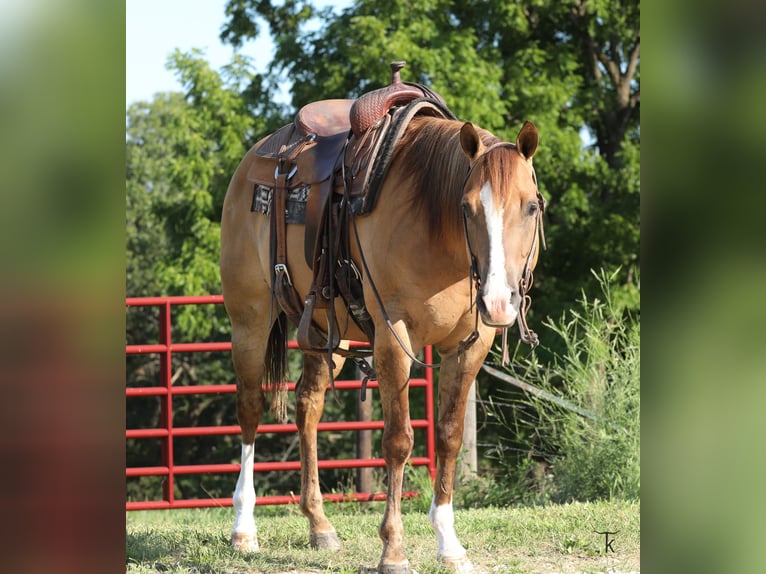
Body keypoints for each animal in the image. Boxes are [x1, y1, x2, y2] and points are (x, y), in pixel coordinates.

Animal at [220, 105, 544, 573]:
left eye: (532, 206)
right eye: (465, 208)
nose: (499, 301)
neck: (436, 228)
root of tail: (253, 161)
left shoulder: (470, 345)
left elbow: (448, 436)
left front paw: (449, 544)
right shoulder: (394, 338)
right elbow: (398, 440)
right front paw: (393, 549)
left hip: (324, 333)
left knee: (307, 405)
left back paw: (319, 524)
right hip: (249, 320)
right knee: (249, 409)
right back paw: (244, 528)